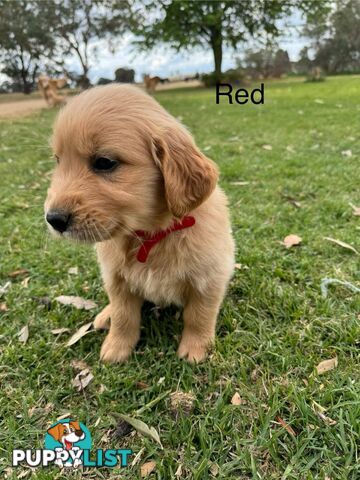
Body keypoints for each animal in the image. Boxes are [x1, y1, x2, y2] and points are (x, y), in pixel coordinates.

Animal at [43, 85, 235, 364]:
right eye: (58, 161)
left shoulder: (209, 278)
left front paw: (196, 349)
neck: (150, 233)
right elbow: (124, 316)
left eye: (104, 162)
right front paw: (116, 347)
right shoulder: (116, 279)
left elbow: (199, 315)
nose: (53, 219)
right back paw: (105, 316)